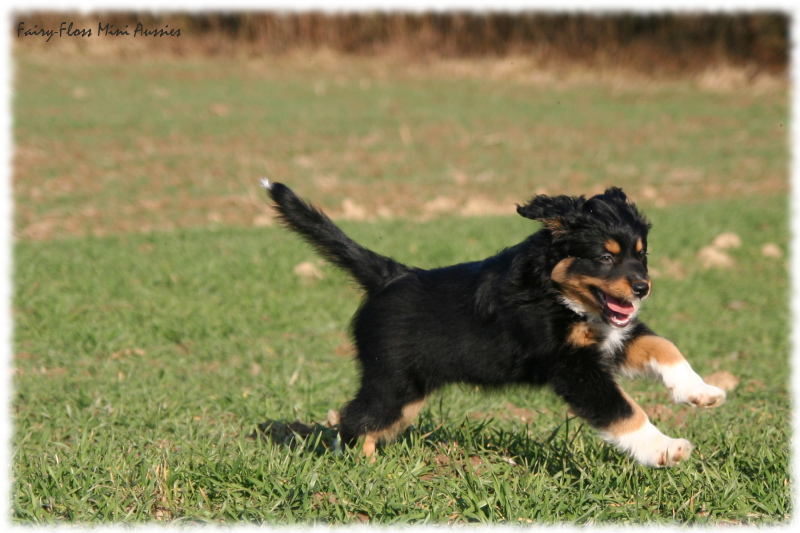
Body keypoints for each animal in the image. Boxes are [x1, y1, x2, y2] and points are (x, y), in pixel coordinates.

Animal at [262, 181, 724, 468]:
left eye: (641, 254)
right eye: (606, 257)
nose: (643, 287)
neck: (556, 291)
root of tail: (390, 275)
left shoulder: (612, 338)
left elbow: (665, 346)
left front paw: (702, 392)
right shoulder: (572, 367)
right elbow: (624, 410)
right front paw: (666, 450)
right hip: (393, 384)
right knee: (354, 419)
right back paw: (365, 467)